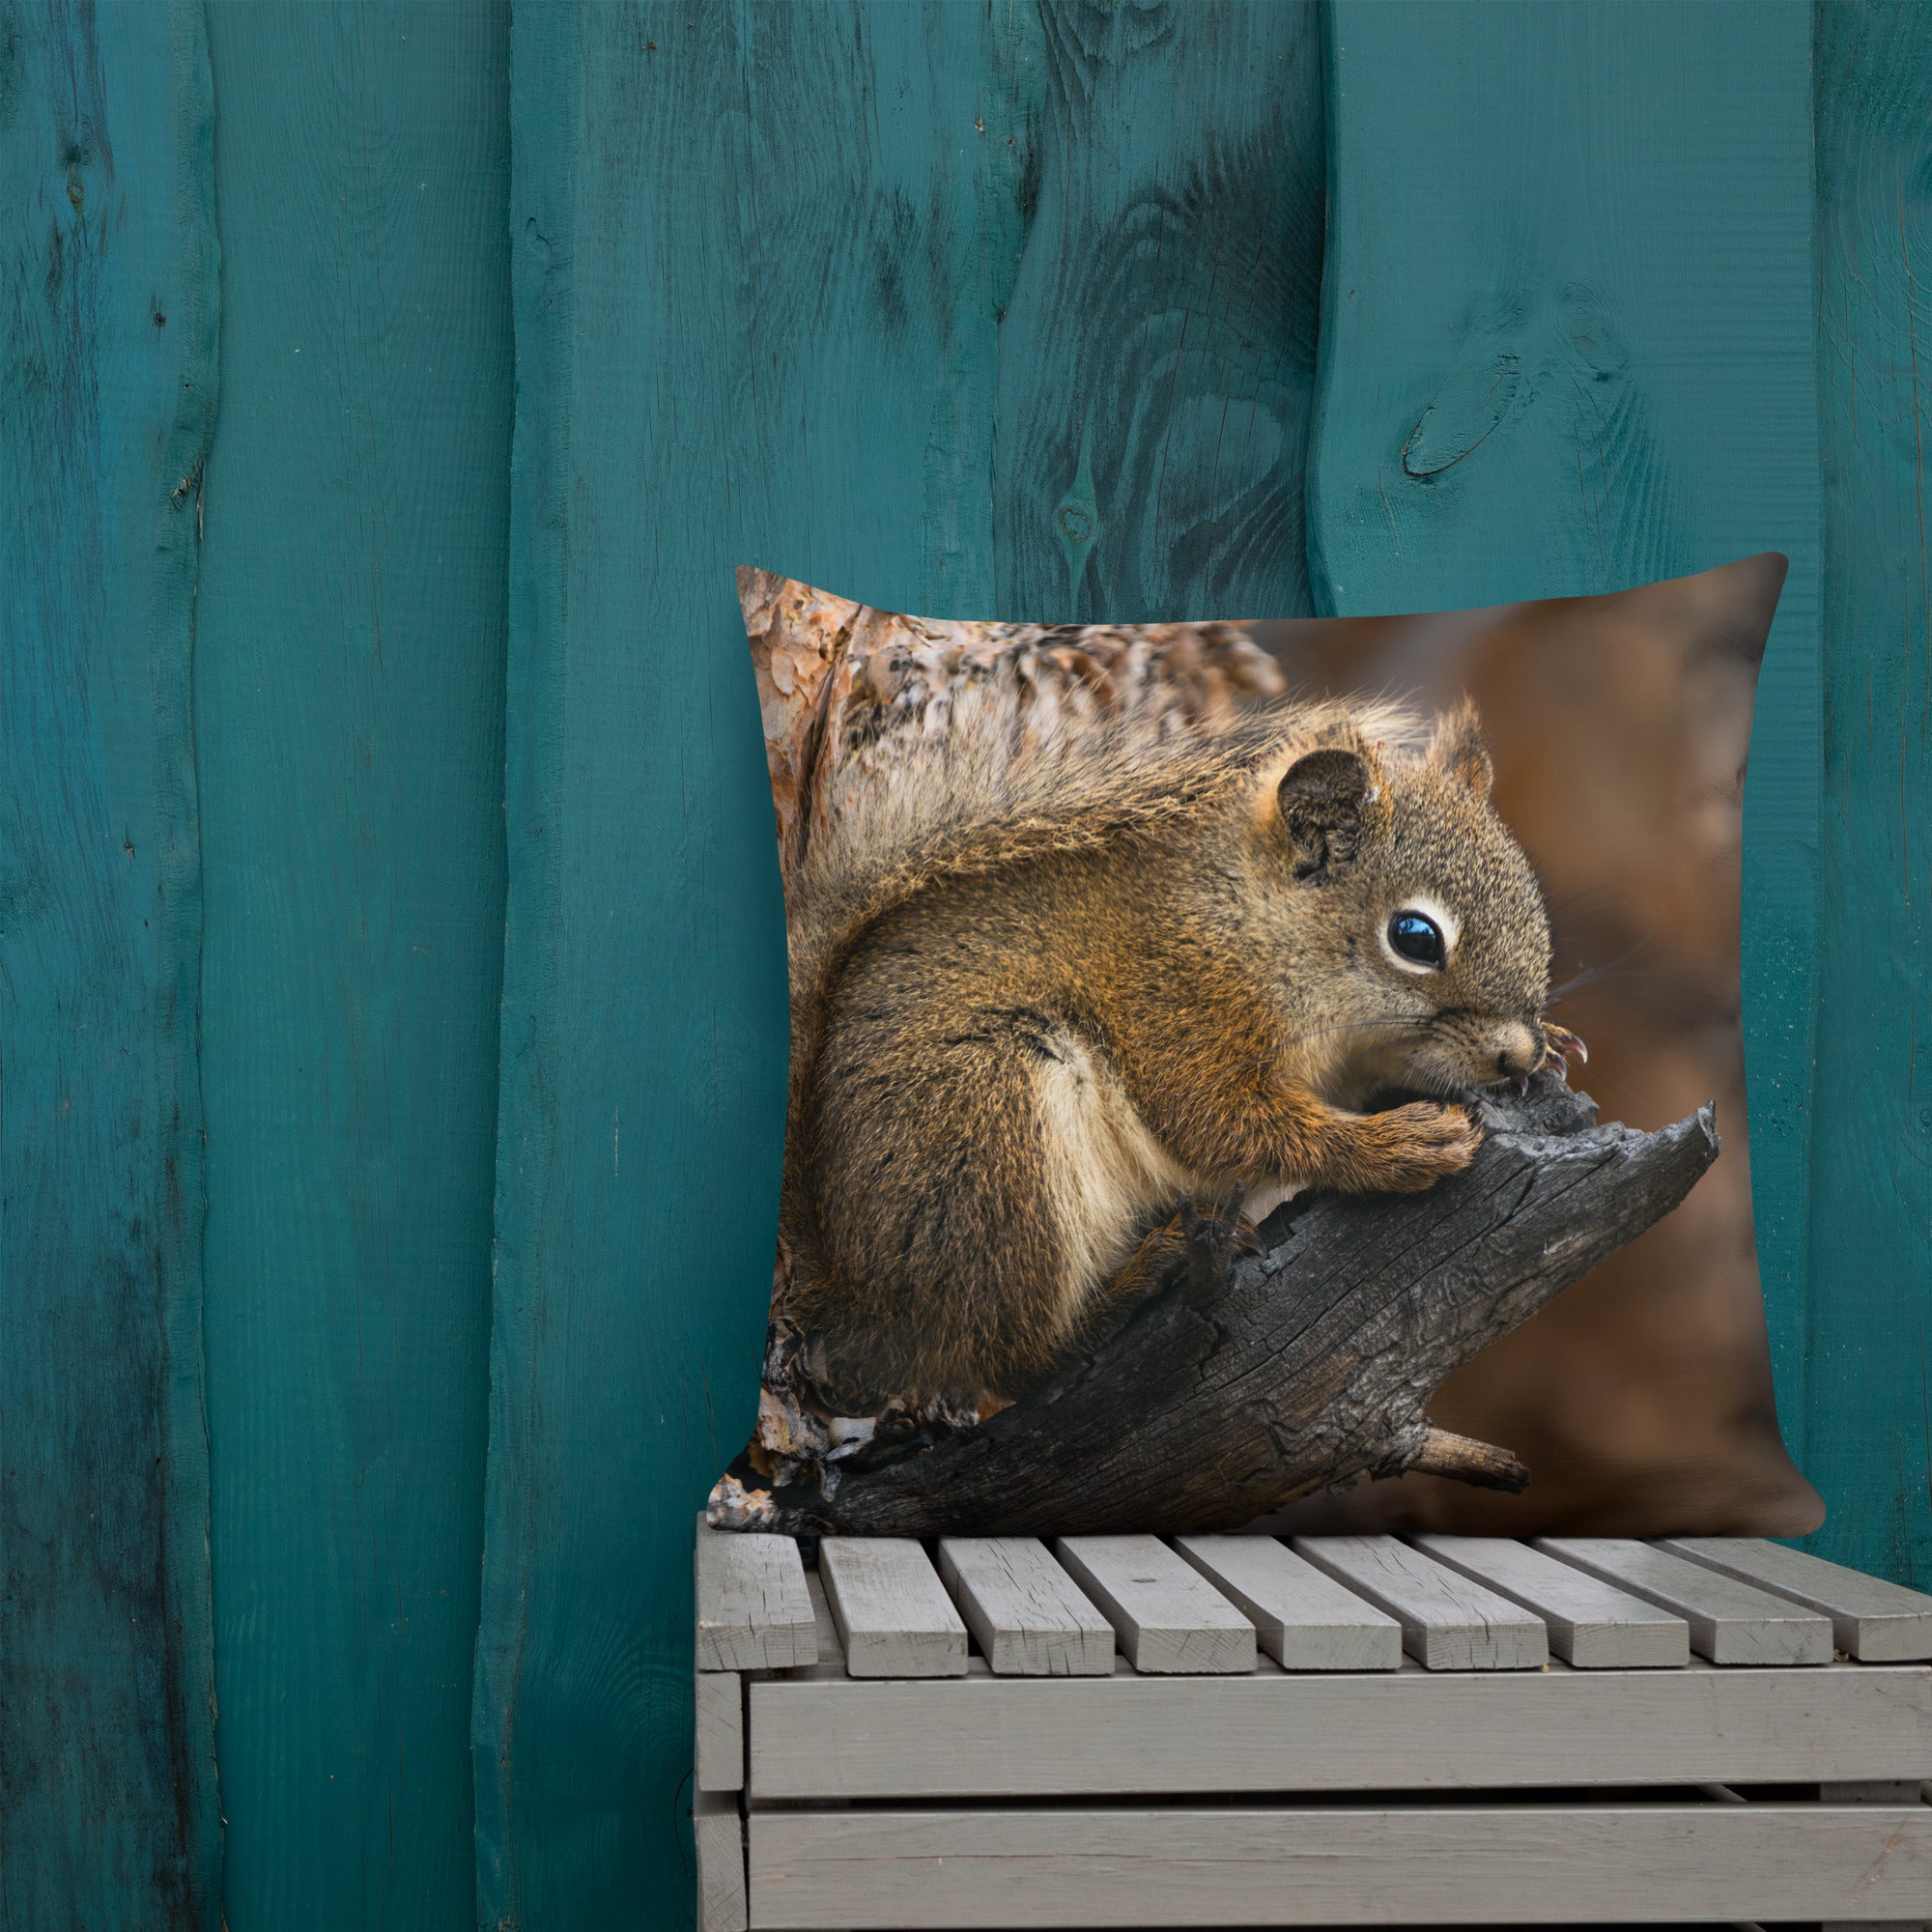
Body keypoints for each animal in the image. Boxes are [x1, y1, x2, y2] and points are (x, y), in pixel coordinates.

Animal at [778, 682, 1575, 1413]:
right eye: (1415, 937)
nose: (1516, 1055)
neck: (1247, 920)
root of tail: (867, 1303)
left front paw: (1558, 1045)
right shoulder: (1179, 1007)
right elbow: (1218, 1121)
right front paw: (1398, 1146)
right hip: (991, 1130)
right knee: (1012, 1358)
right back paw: (1132, 1285)